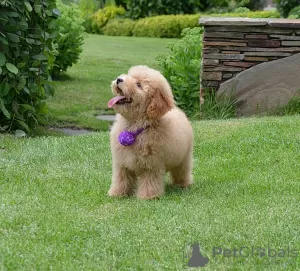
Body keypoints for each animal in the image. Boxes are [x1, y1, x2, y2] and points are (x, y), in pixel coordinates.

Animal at [106, 65, 193, 199]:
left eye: (139, 85)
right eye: (129, 75)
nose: (119, 79)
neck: (136, 127)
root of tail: (178, 111)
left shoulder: (152, 164)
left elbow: (149, 181)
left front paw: (147, 196)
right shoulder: (121, 163)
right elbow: (121, 179)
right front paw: (117, 193)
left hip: (183, 158)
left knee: (182, 171)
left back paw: (183, 184)